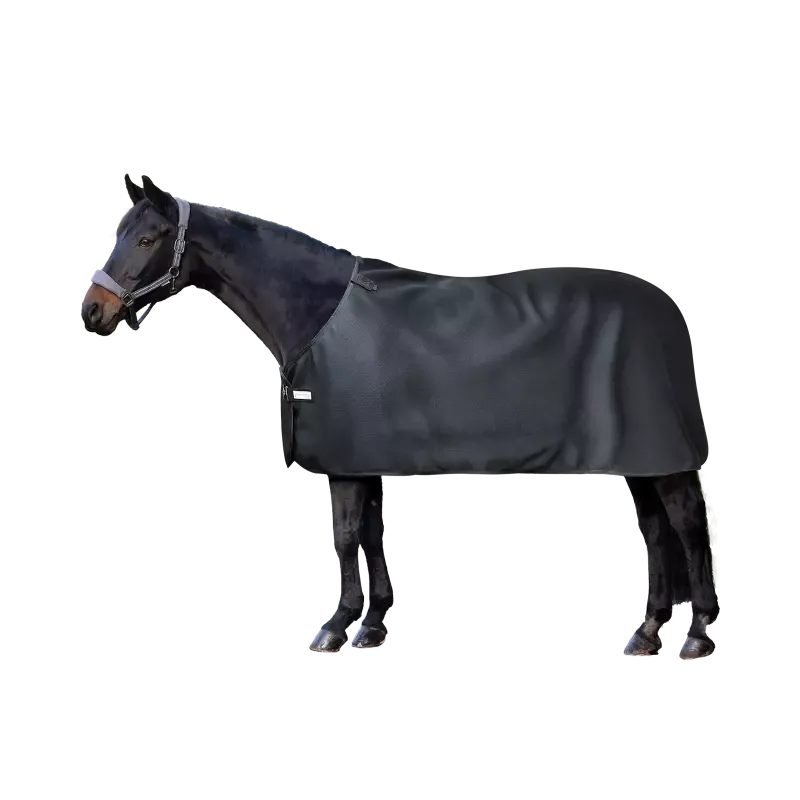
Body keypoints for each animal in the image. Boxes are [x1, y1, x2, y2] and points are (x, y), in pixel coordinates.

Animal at [81, 175, 719, 659]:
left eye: (148, 238)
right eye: (120, 232)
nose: (92, 312)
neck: (318, 312)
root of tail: (671, 312)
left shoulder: (343, 458)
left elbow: (343, 537)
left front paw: (335, 629)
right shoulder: (362, 457)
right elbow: (367, 534)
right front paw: (372, 624)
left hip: (661, 456)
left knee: (686, 524)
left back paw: (698, 633)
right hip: (638, 456)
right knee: (656, 528)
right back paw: (646, 632)